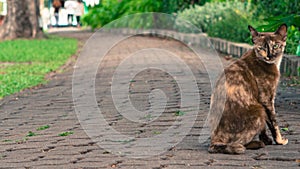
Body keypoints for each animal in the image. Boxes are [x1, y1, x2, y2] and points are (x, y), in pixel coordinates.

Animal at [209, 23, 288, 154]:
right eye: (261, 48)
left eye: (276, 45)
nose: (269, 55)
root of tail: (214, 139)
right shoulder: (266, 99)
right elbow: (273, 122)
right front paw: (280, 141)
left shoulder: (263, 101)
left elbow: (264, 126)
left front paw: (267, 139)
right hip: (258, 110)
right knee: (235, 143)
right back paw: (256, 144)